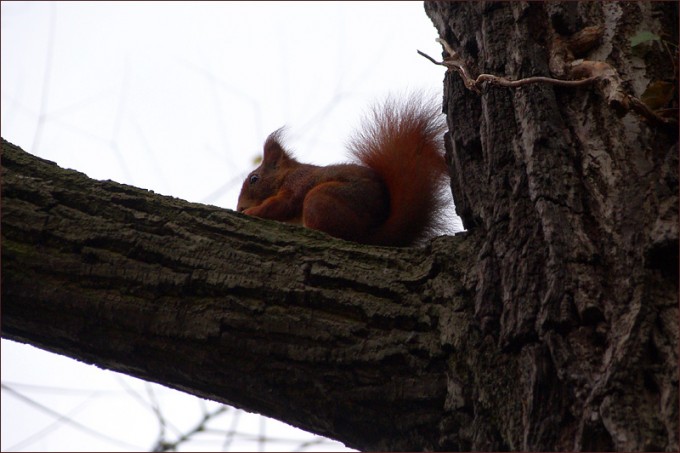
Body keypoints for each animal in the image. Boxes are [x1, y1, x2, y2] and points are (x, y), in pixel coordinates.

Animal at [237, 95, 450, 247]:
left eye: (254, 179)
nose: (239, 207)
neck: (285, 175)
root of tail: (369, 235)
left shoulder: (297, 183)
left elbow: (281, 205)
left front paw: (251, 212)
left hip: (320, 198)